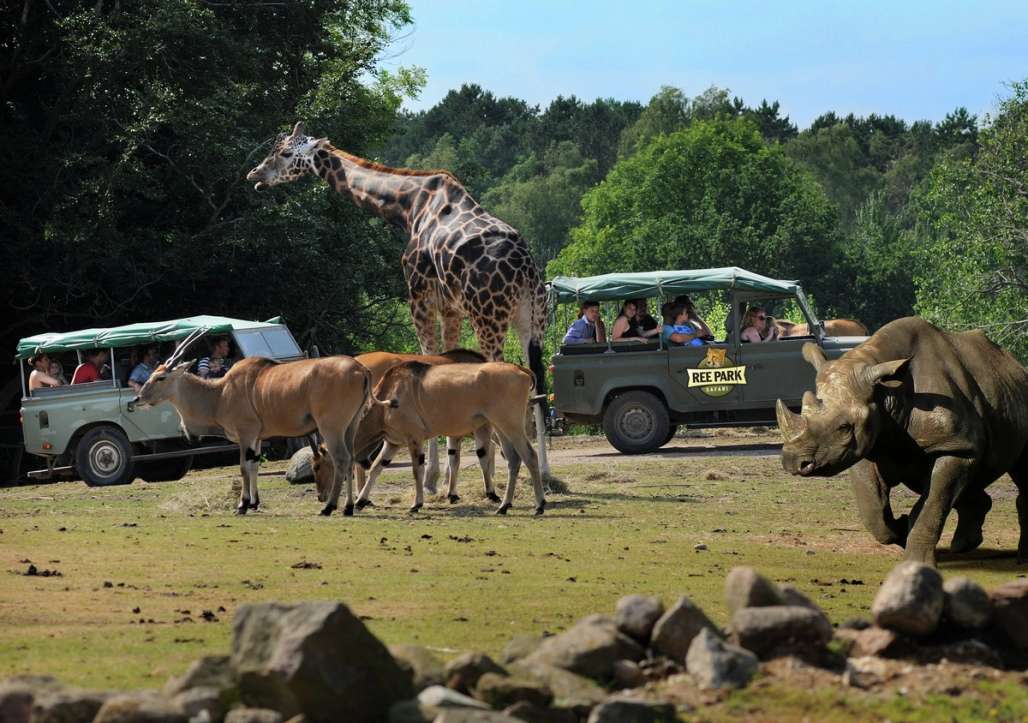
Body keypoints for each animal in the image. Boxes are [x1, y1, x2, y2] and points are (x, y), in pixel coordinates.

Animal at [246, 122, 555, 485]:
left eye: (284, 153)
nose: (255, 174)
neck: (408, 207)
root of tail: (525, 270)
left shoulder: (419, 294)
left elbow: (429, 360)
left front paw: (433, 477)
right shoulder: (450, 307)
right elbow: (447, 364)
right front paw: (448, 476)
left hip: (488, 317)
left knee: (503, 375)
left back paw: (508, 468)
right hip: (531, 319)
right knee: (536, 381)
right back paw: (545, 475)